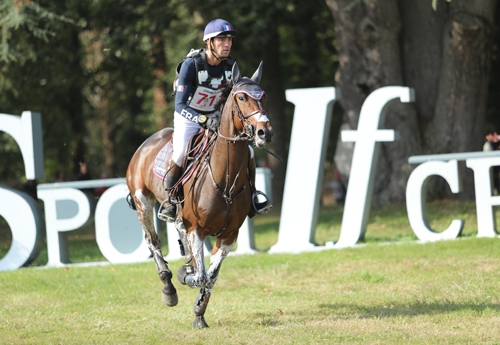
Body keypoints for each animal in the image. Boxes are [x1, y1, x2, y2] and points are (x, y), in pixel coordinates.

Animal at [125, 60, 274, 326]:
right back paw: (168, 288)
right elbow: (201, 275)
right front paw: (186, 275)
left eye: (264, 96)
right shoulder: (197, 229)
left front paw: (199, 312)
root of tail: (145, 144)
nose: (264, 132)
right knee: (153, 241)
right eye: (242, 97)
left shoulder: (229, 236)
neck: (225, 182)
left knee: (176, 231)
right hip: (143, 202)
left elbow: (211, 276)